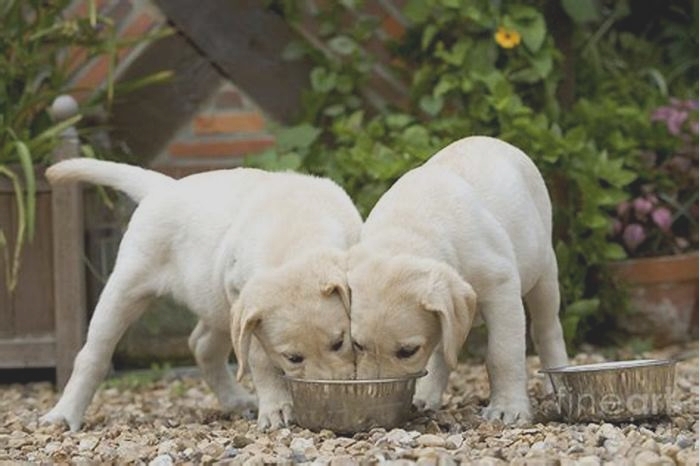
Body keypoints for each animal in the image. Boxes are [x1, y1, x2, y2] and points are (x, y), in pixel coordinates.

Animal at [41, 158, 364, 432]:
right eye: (293, 358)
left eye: (339, 342)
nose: (332, 400)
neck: (293, 234)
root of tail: (163, 187)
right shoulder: (244, 306)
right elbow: (260, 359)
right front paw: (275, 408)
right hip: (126, 287)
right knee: (93, 355)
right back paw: (64, 414)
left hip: (217, 304)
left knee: (202, 345)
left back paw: (236, 400)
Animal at [348, 136, 572, 426]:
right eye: (357, 345)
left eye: (408, 351)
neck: (409, 232)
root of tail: (492, 140)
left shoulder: (501, 289)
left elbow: (503, 354)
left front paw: (508, 408)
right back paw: (426, 397)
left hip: (544, 273)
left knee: (547, 329)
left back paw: (555, 382)